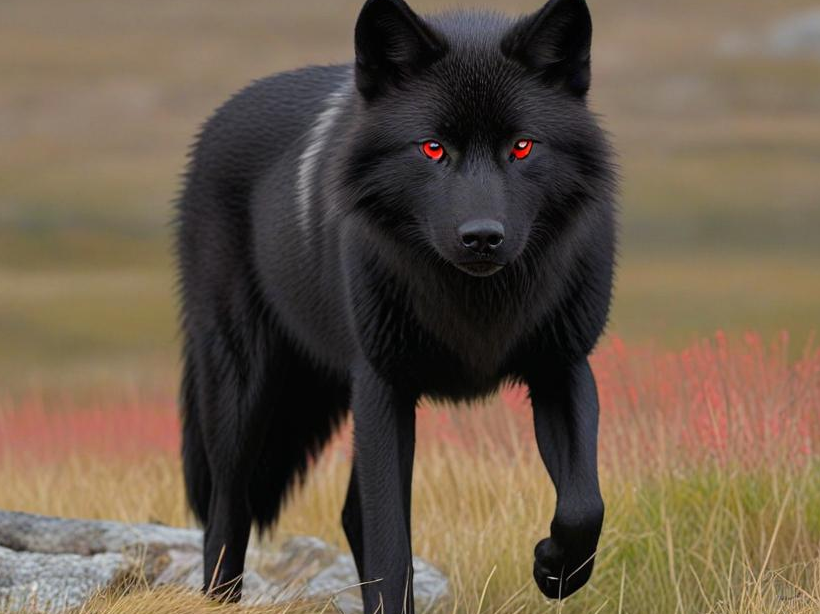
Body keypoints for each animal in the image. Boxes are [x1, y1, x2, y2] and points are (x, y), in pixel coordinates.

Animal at [175, 0, 616, 611]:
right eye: (432, 147)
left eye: (522, 146)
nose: (482, 237)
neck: (476, 304)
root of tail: (216, 120)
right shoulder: (382, 386)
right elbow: (390, 543)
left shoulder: (562, 367)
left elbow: (583, 506)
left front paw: (556, 568)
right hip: (245, 393)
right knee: (229, 510)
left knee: (346, 513)